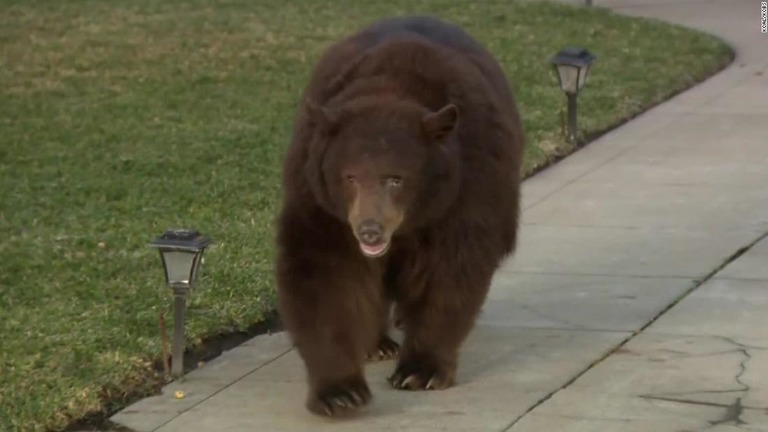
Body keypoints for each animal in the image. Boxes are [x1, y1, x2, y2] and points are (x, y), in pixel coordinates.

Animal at [274, 15, 520, 416]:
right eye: (349, 176)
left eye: (396, 178)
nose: (370, 231)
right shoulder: (320, 201)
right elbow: (324, 273)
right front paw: (340, 392)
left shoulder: (467, 187)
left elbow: (451, 269)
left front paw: (421, 370)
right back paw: (377, 343)